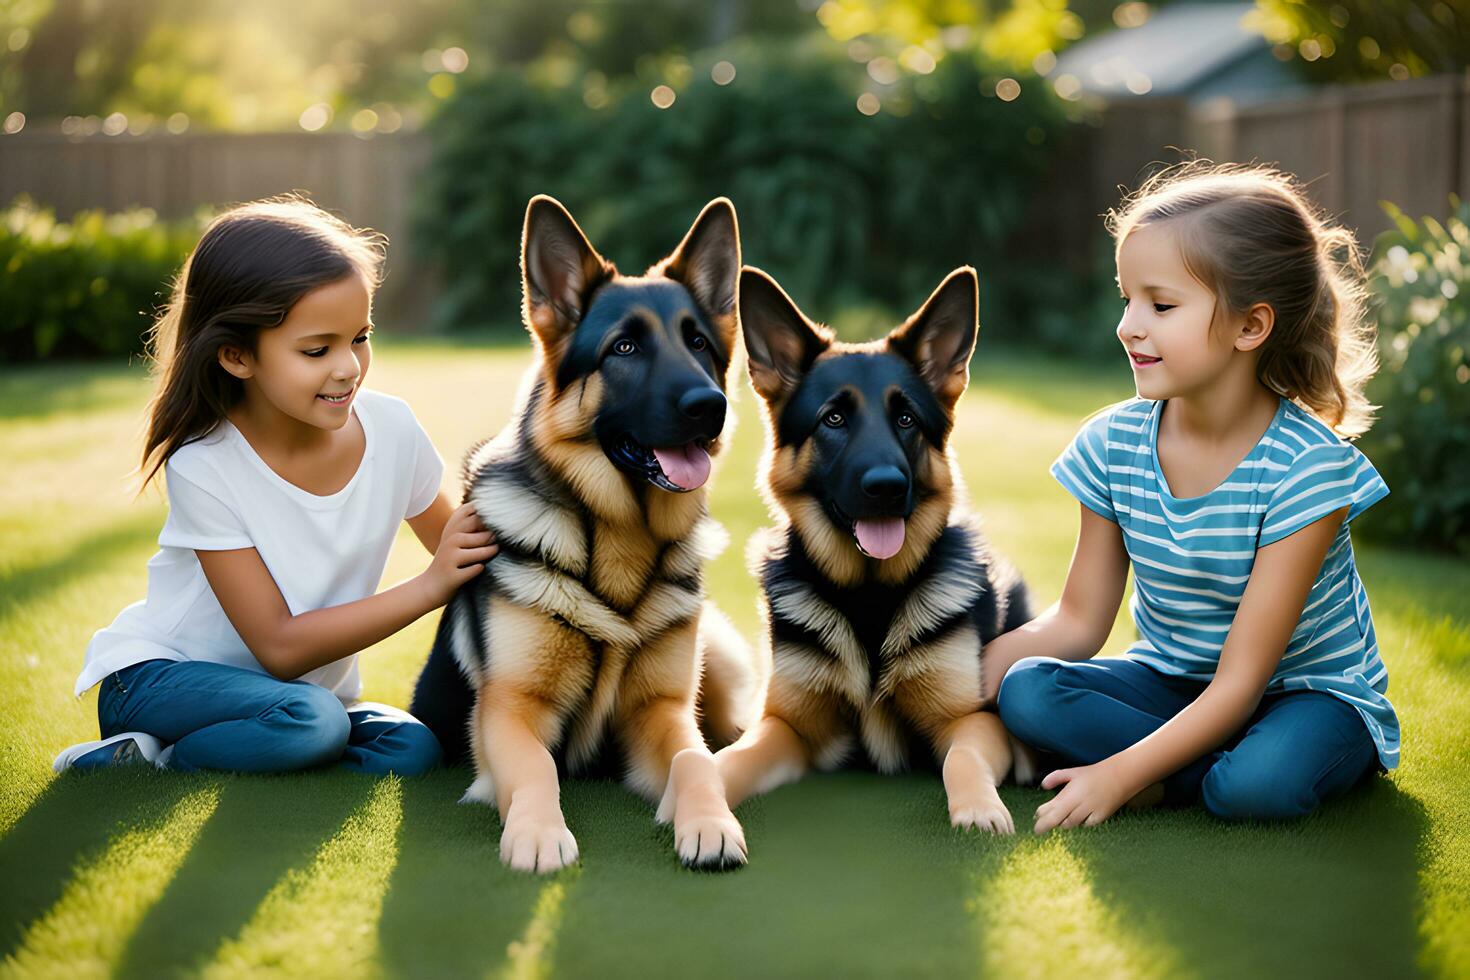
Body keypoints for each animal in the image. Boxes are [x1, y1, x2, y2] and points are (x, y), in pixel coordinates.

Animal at [408, 195, 764, 869]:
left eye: (699, 344)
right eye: (623, 348)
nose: (711, 407)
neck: (621, 536)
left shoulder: (662, 711)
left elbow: (694, 759)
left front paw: (709, 820)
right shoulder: (508, 709)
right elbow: (537, 767)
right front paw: (539, 834)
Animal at [711, 264, 1034, 840]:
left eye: (906, 421)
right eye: (833, 420)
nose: (886, 487)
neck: (868, 596)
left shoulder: (968, 719)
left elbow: (961, 759)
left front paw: (979, 807)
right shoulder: (786, 726)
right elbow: (726, 760)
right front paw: (698, 807)